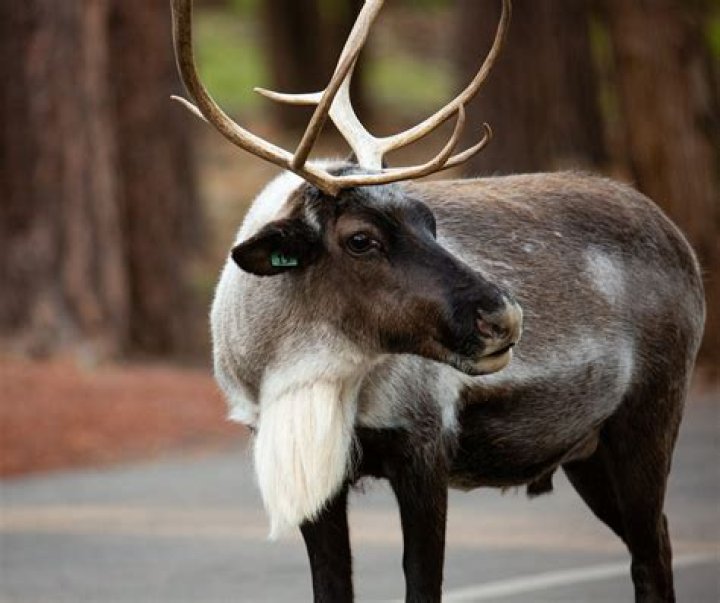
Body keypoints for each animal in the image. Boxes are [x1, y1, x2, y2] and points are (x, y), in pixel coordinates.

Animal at [170, 0, 706, 601]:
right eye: (360, 239)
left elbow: (422, 583)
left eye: (429, 219)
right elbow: (333, 585)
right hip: (587, 452)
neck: (289, 373)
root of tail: (676, 235)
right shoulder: (313, 475)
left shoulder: (424, 447)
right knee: (654, 543)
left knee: (652, 554)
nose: (504, 316)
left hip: (648, 417)